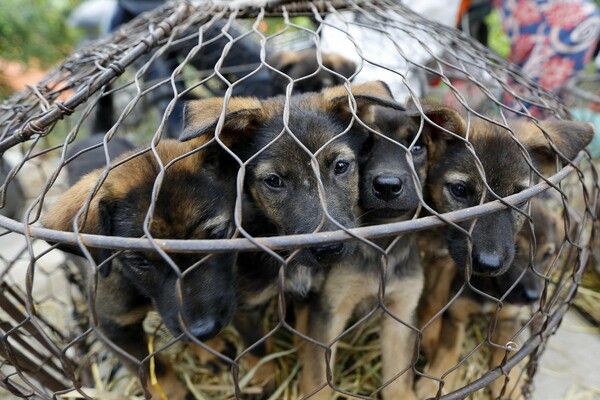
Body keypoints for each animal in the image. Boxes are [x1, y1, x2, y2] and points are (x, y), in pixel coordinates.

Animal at [43, 134, 240, 396]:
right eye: (140, 261)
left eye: (217, 236)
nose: (205, 329)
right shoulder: (113, 328)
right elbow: (153, 369)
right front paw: (174, 393)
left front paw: (212, 349)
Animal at [296, 104, 468, 400]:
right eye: (365, 145)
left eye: (417, 146)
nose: (388, 186)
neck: (382, 243)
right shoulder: (330, 309)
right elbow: (318, 376)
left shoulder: (402, 312)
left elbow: (398, 378)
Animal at [414, 198, 564, 398]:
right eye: (517, 249)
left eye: (547, 254)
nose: (533, 296)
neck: (491, 288)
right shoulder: (456, 314)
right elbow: (448, 349)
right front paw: (432, 384)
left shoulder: (508, 318)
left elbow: (505, 357)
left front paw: (511, 390)